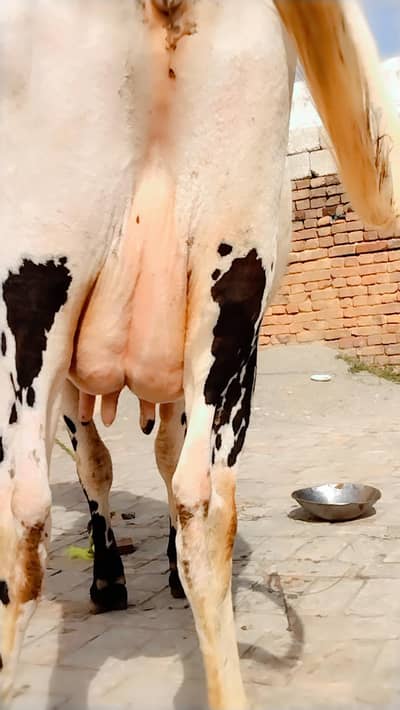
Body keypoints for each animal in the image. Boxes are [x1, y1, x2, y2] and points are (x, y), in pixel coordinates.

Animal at [0, 0, 399, 708]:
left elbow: (111, 466)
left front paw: (111, 577)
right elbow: (135, 462)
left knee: (41, 511)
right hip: (227, 291)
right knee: (192, 504)